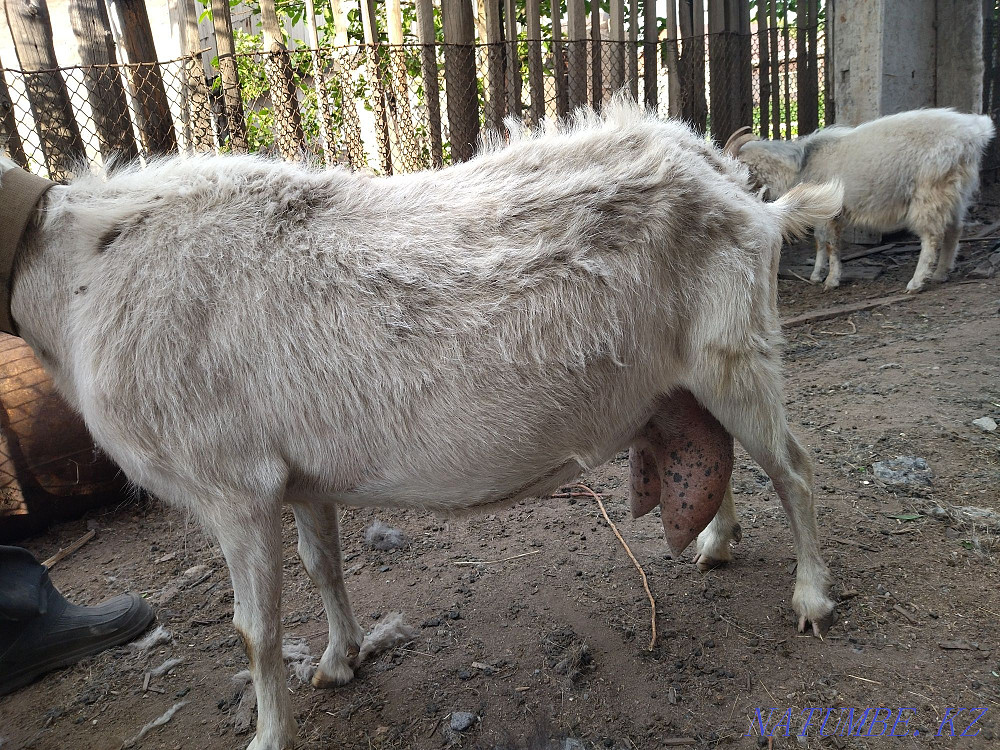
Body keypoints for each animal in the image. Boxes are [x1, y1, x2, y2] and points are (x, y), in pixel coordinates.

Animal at [2, 100, 842, 750]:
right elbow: (323, 565)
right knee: (719, 447)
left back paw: (810, 599)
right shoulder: (296, 474)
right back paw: (716, 544)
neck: (77, 277)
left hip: (736, 349)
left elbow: (254, 629)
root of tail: (741, 188)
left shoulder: (232, 486)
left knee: (794, 466)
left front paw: (269, 733)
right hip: (693, 375)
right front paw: (340, 660)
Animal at [725, 108, 995, 292]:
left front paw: (832, 280)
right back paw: (941, 273)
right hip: (956, 193)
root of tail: (973, 134)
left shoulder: (833, 213)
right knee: (954, 230)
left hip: (930, 192)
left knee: (932, 236)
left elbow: (831, 244)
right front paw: (816, 275)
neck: (801, 164)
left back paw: (916, 282)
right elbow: (819, 242)